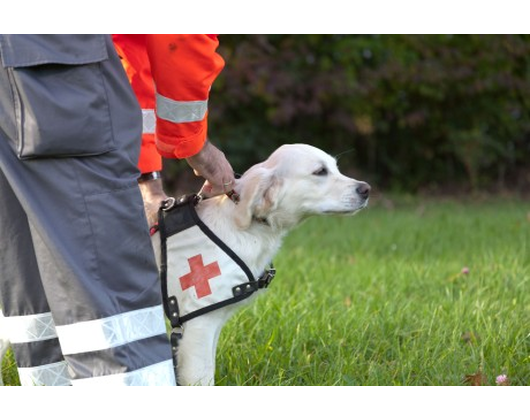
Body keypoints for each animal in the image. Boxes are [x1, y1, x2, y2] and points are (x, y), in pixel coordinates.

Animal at [0, 143, 370, 386]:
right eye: (319, 172)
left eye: (335, 167)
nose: (365, 188)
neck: (243, 226)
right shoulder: (198, 323)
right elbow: (201, 378)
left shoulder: (208, 323)